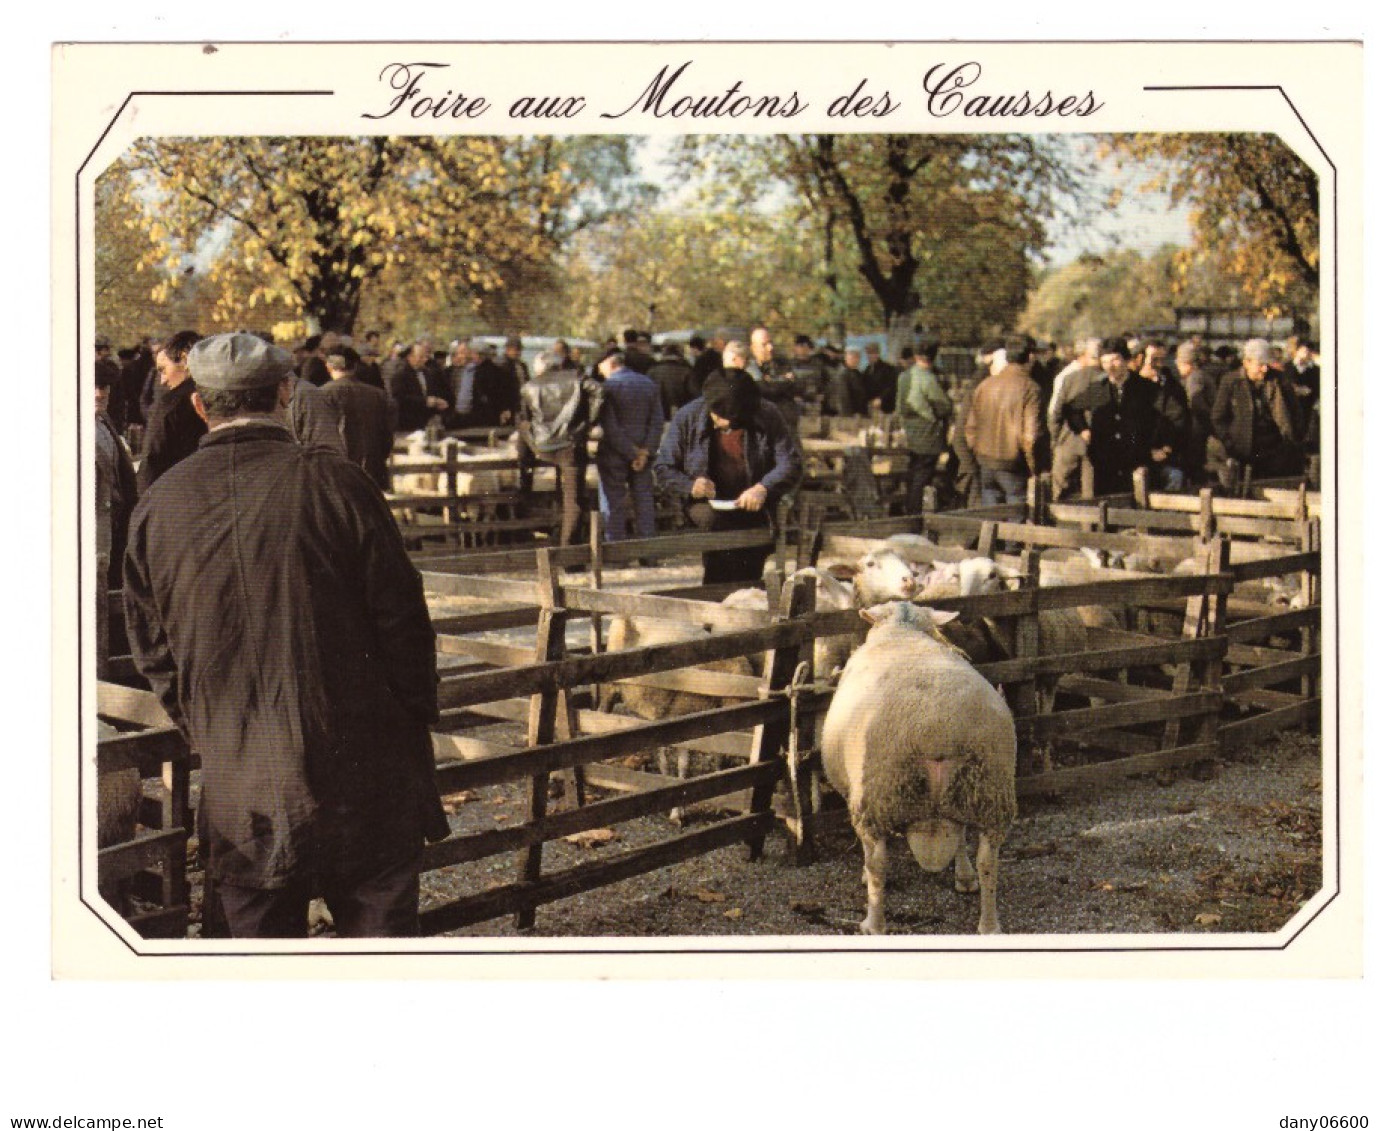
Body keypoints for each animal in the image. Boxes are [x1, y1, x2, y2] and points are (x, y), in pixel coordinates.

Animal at [811, 601, 1021, 937]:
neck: (903, 629)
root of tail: (937, 728)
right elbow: (961, 838)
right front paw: (964, 876)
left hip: (878, 797)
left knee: (879, 864)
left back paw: (873, 923)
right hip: (987, 791)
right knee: (989, 862)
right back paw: (989, 925)